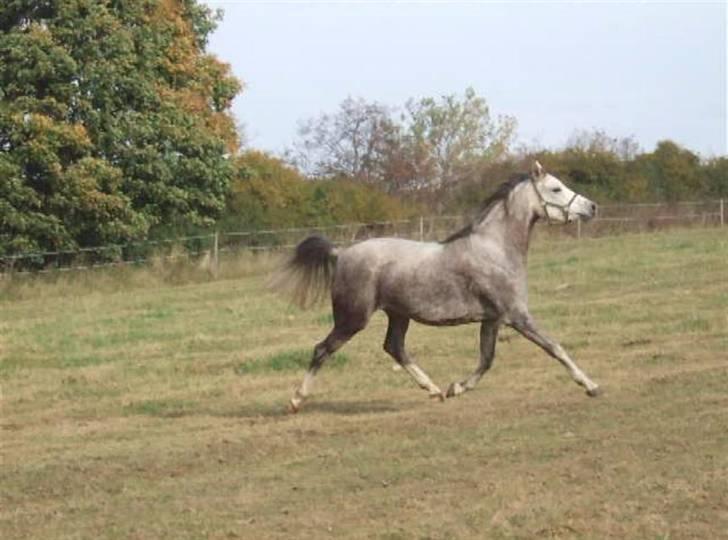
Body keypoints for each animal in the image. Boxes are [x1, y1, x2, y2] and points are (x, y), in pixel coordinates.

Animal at [276, 161, 600, 414]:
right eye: (556, 189)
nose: (592, 207)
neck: (495, 249)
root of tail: (341, 253)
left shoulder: (492, 319)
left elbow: (486, 359)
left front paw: (455, 388)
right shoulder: (517, 316)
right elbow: (554, 348)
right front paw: (592, 386)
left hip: (398, 314)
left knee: (394, 347)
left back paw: (433, 390)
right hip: (352, 319)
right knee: (322, 349)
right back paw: (295, 400)